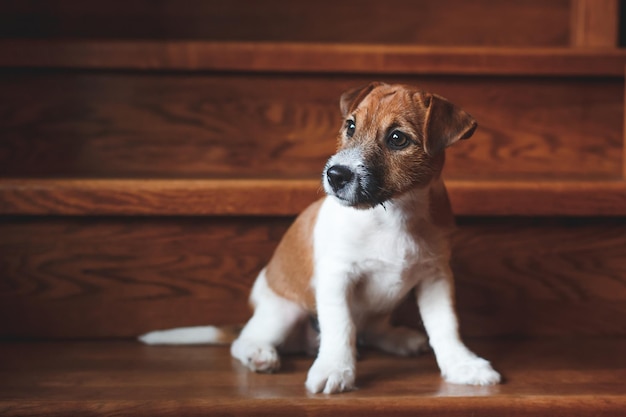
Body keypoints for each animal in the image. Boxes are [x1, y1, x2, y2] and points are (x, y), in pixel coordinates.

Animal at [139, 82, 500, 394]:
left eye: (397, 138)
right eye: (350, 126)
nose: (336, 175)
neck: (394, 215)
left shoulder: (435, 276)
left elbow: (446, 326)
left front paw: (462, 365)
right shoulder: (337, 276)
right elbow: (341, 327)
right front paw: (335, 370)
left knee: (371, 330)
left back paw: (399, 339)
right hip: (283, 311)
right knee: (244, 340)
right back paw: (260, 353)